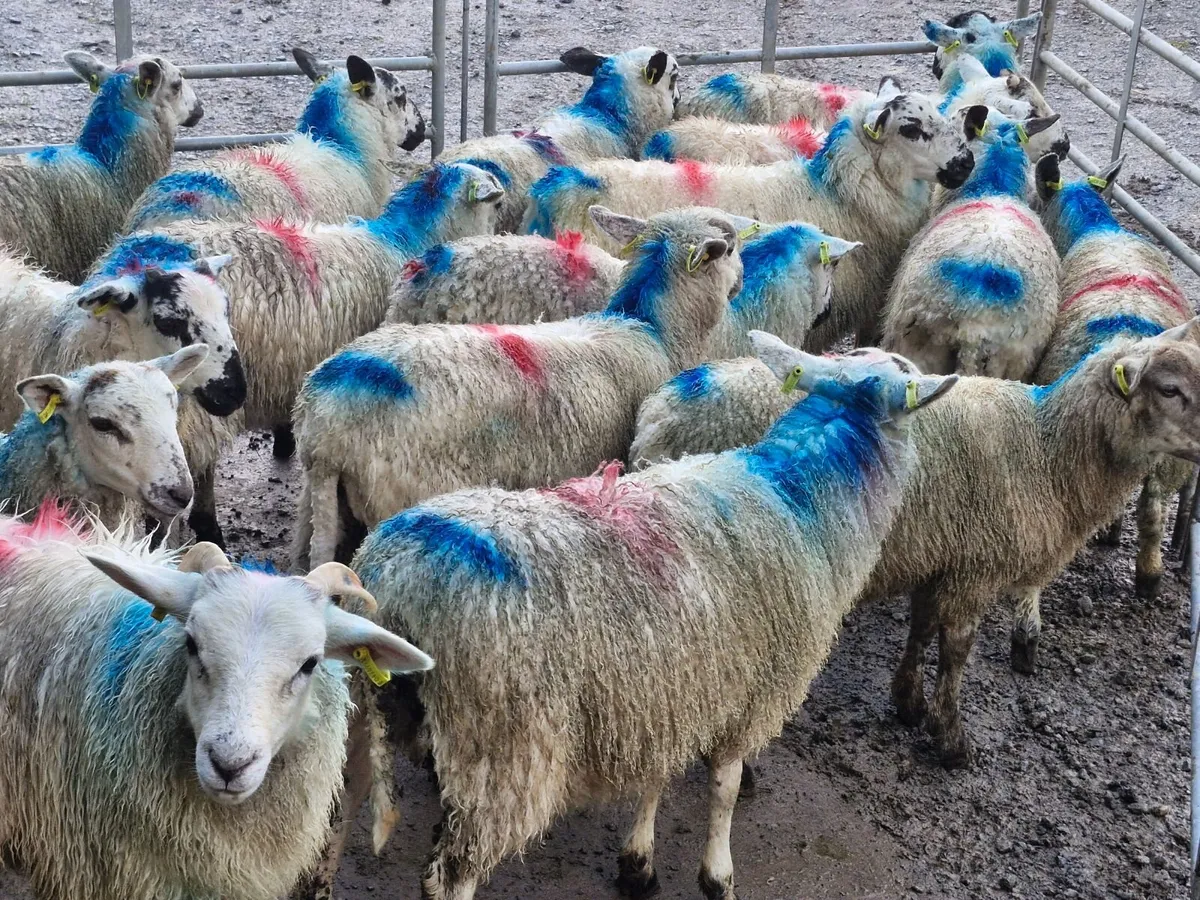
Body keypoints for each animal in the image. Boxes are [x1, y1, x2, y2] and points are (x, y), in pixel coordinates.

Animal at [292, 205, 748, 569]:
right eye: (729, 249)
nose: (741, 281)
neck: (651, 328)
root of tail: (328, 427)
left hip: (318, 504)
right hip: (398, 493)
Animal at [342, 337, 956, 900]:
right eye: (904, 374)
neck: (801, 497)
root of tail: (400, 577)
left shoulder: (669, 686)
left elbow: (657, 775)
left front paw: (638, 862)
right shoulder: (755, 688)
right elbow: (725, 786)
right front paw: (717, 875)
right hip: (504, 750)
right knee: (452, 877)